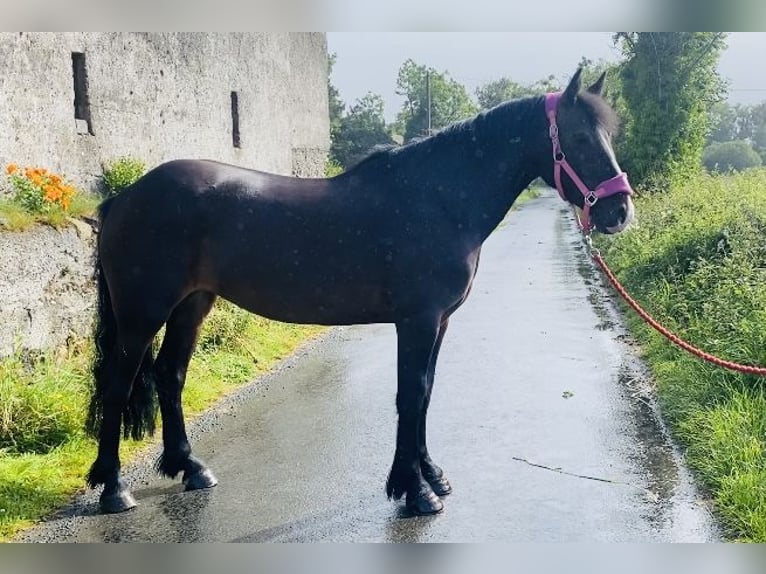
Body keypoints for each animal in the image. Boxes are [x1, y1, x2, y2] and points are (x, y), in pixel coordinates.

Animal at [85, 68, 636, 516]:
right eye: (580, 137)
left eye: (609, 134)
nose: (619, 212)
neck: (438, 198)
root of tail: (125, 196)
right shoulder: (417, 320)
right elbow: (410, 394)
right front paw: (415, 493)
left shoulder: (439, 322)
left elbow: (426, 393)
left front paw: (430, 475)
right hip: (141, 314)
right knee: (118, 382)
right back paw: (114, 489)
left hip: (192, 305)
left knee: (170, 375)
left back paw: (191, 468)